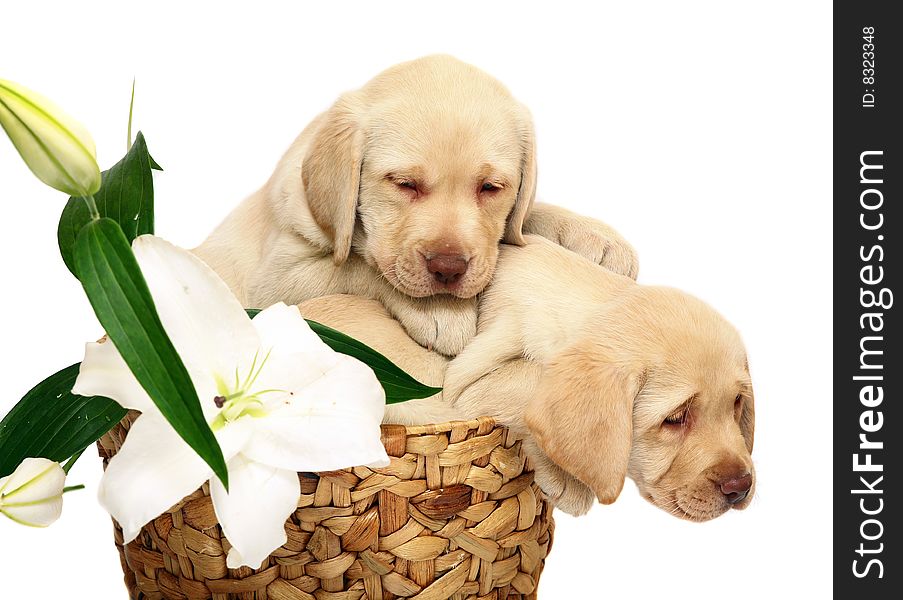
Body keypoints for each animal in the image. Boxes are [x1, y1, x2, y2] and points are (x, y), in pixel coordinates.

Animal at [197, 52, 636, 356]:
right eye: (404, 183)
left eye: (491, 187)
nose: (448, 269)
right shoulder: (276, 281)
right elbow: (361, 267)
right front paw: (440, 314)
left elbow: (526, 218)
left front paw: (591, 235)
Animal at [298, 237, 756, 524]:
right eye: (675, 419)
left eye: (736, 404)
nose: (741, 487)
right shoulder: (465, 379)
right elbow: (531, 382)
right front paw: (568, 479)